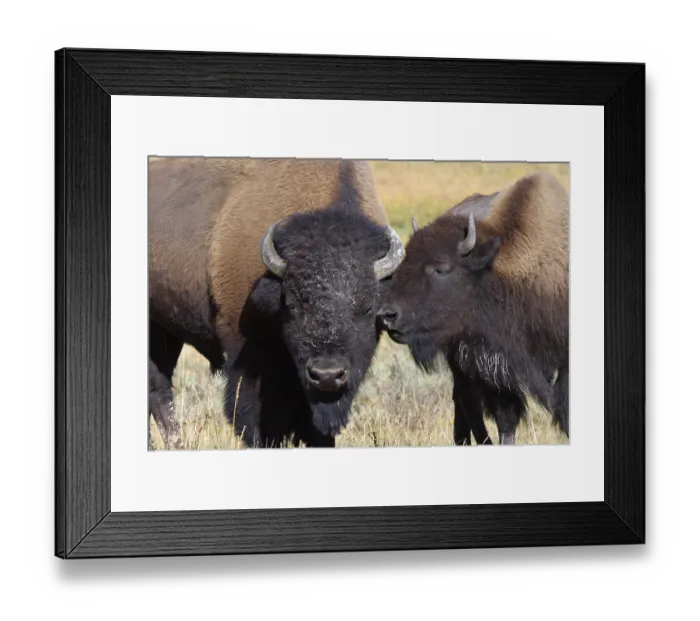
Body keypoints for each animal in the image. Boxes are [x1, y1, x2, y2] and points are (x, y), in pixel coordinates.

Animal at [380, 172, 569, 445]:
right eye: (405, 263)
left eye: (441, 268)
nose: (388, 315)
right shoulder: (497, 372)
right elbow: (505, 423)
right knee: (465, 404)